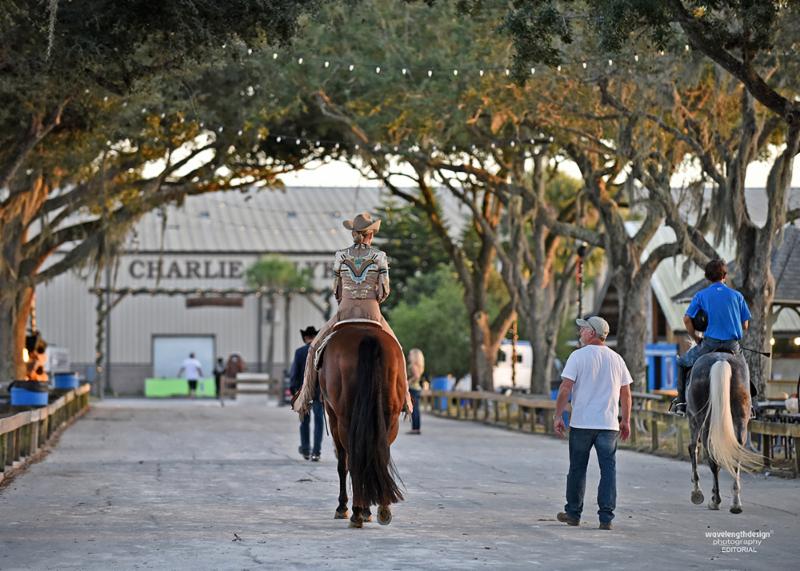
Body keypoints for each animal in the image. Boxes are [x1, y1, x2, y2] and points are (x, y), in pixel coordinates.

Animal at [318, 324, 406, 528]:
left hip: (344, 420)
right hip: (391, 419)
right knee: (380, 453)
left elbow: (343, 465)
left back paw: (356, 512)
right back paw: (382, 509)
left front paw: (343, 507)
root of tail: (368, 337)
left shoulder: (333, 418)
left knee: (353, 459)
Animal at [684, 354, 760, 512]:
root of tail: (721, 360)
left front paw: (696, 492)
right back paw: (736, 503)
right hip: (740, 420)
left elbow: (693, 448)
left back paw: (715, 500)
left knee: (711, 458)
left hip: (703, 420)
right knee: (736, 454)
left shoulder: (692, 419)